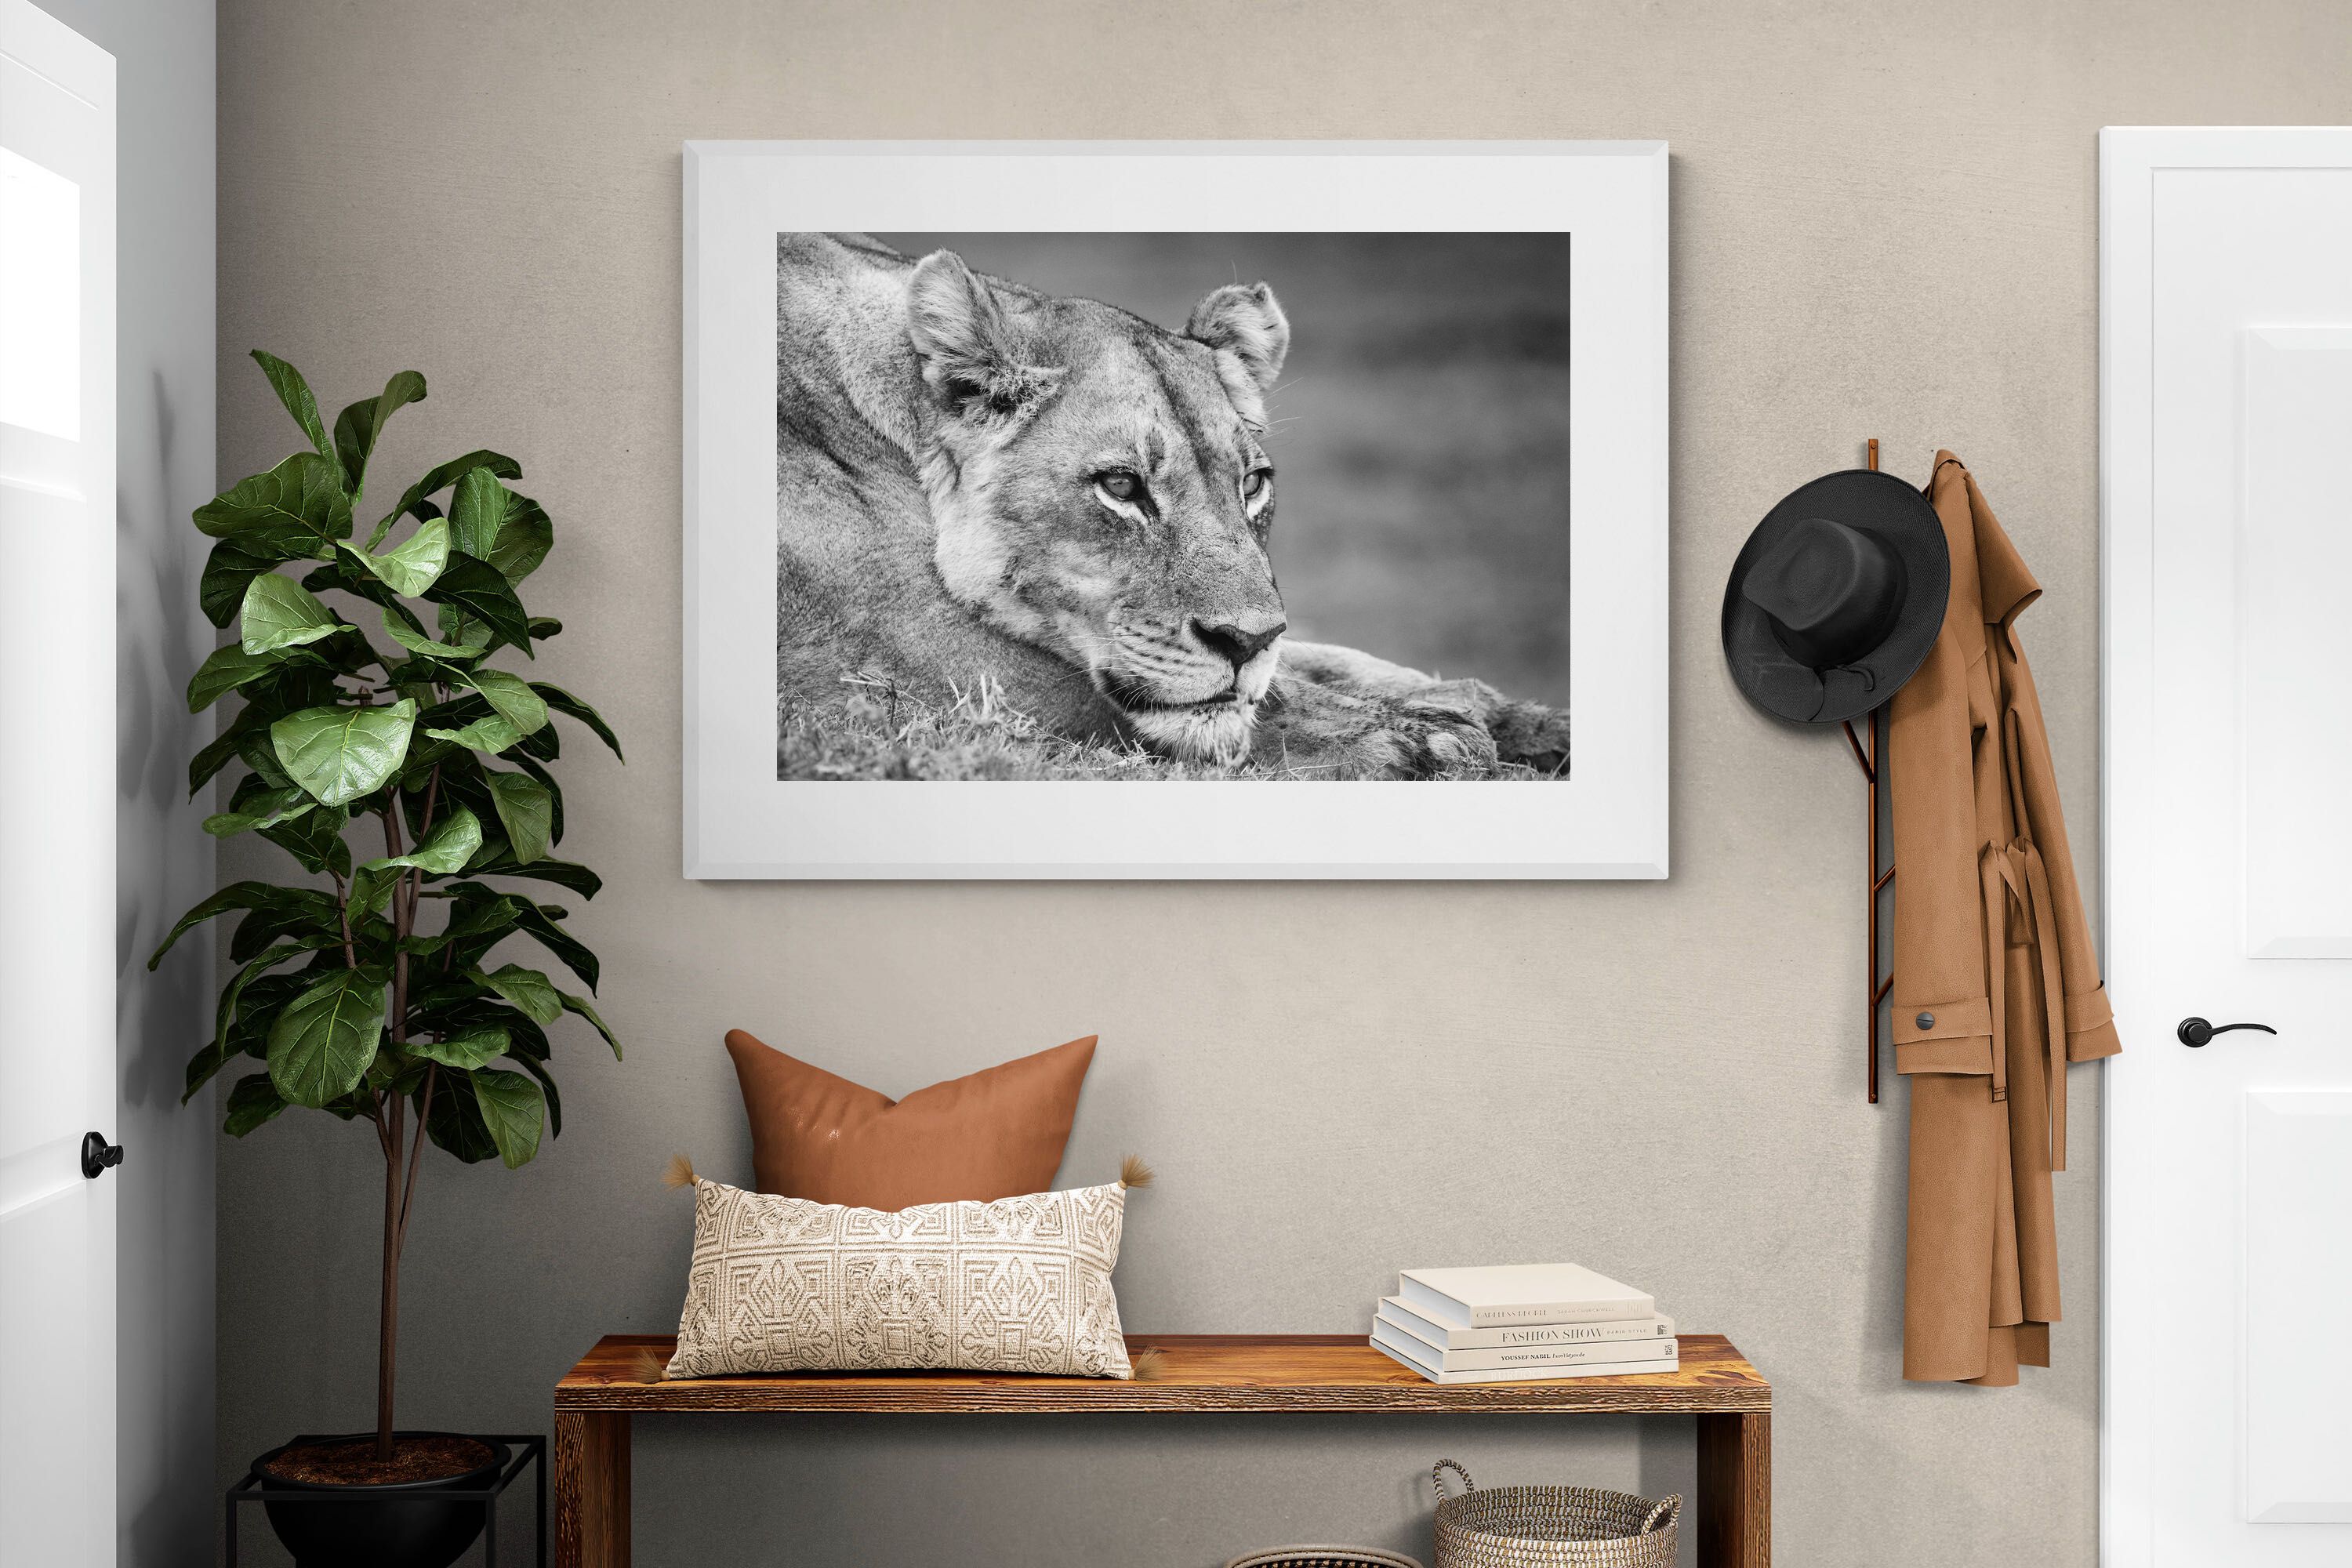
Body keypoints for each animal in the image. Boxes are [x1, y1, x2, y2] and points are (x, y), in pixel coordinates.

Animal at [774, 232, 1571, 779]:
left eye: (1252, 484)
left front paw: (1519, 718)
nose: (1245, 643)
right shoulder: (899, 656)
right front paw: (1424, 739)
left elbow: (1329, 662)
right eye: (1122, 487)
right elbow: (1228, 704)